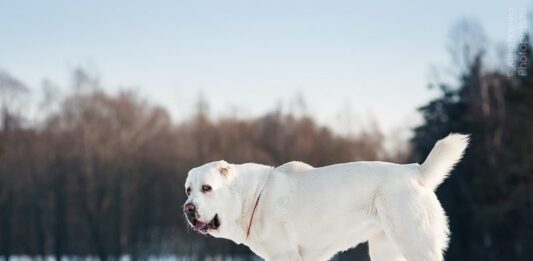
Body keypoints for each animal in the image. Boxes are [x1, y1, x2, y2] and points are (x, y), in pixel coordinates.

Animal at [184, 133, 470, 258]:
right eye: (188, 190)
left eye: (207, 188)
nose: (187, 209)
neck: (253, 198)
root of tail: (416, 171)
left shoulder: (285, 254)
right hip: (386, 248)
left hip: (415, 242)